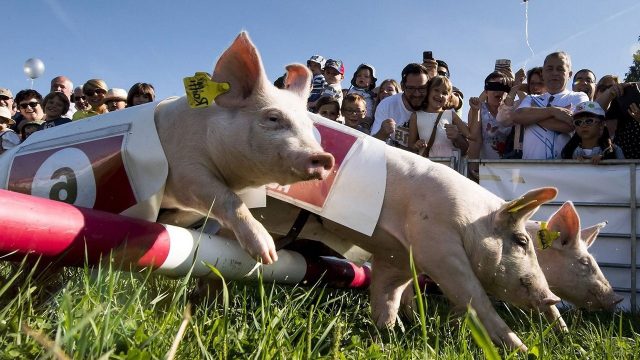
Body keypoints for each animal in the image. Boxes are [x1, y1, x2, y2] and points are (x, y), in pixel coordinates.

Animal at [156, 32, 336, 264]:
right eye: (273, 118)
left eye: (309, 126)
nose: (325, 157)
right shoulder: (183, 169)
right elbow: (229, 199)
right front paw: (267, 255)